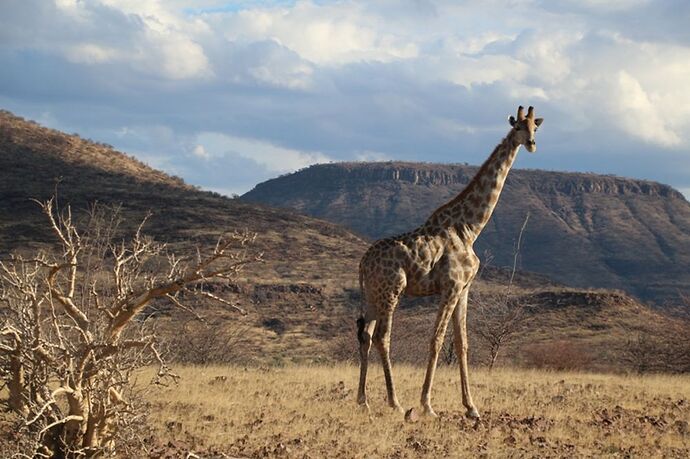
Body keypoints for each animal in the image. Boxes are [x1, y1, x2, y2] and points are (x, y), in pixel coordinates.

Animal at [354, 105, 544, 420]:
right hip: (392, 289)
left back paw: (363, 400)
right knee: (382, 336)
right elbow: (437, 340)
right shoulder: (450, 286)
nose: (531, 143)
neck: (468, 228)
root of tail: (363, 264)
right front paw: (427, 406)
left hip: (371, 294)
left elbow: (462, 343)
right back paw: (395, 402)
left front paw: (472, 407)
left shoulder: (464, 289)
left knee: (365, 335)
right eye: (517, 126)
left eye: (535, 127)